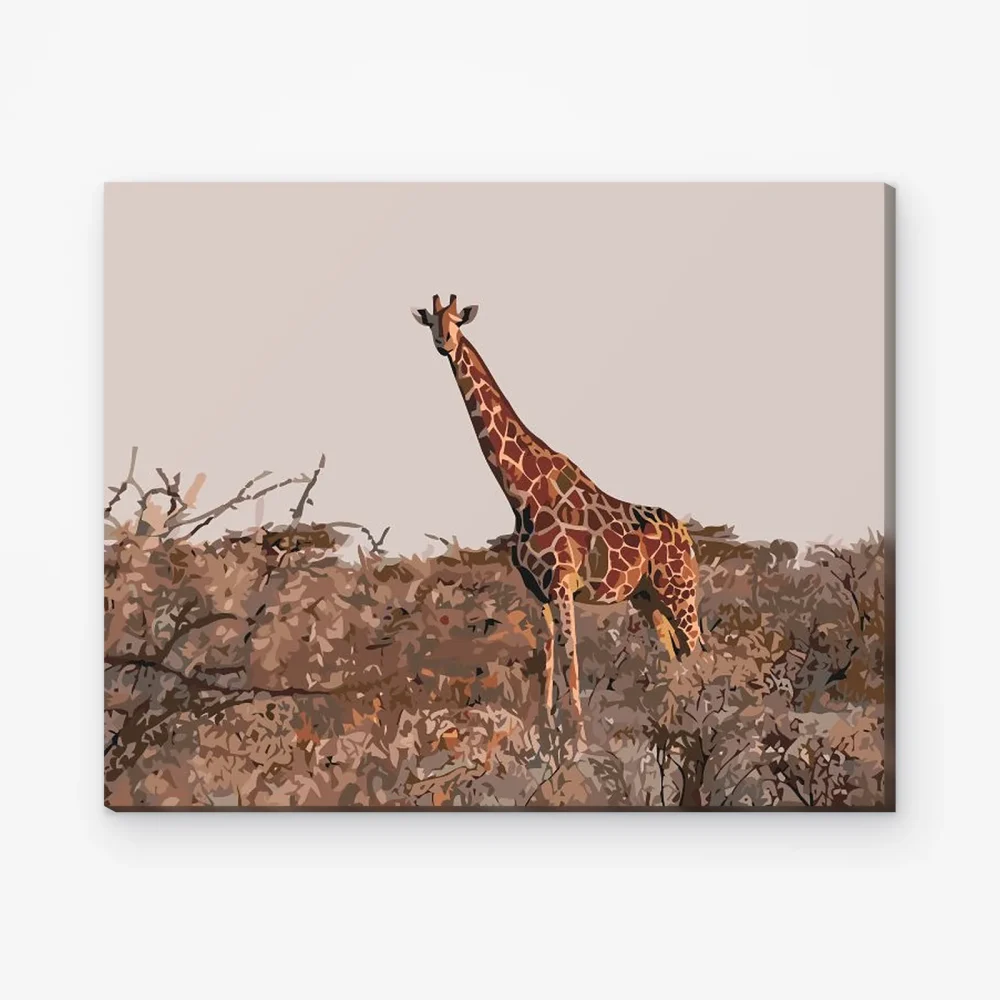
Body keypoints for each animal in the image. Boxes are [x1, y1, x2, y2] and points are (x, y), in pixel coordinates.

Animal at [411, 294, 703, 736]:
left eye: (458, 321)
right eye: (431, 321)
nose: (444, 342)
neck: (520, 494)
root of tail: (687, 539)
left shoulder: (563, 583)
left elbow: (570, 655)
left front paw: (577, 734)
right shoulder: (538, 589)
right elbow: (547, 651)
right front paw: (546, 725)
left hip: (679, 591)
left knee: (700, 649)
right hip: (648, 598)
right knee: (675, 653)